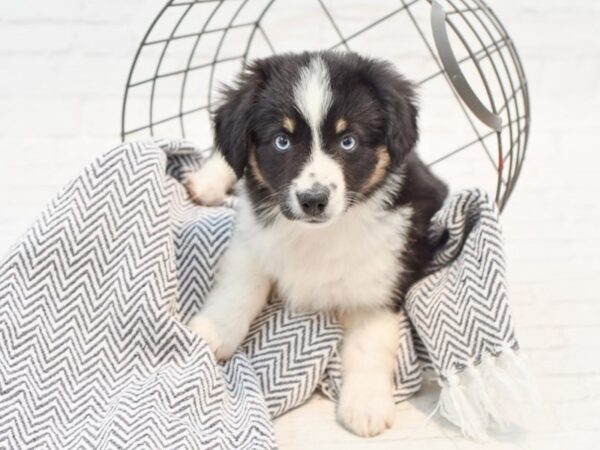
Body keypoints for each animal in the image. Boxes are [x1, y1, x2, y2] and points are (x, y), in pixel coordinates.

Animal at [186, 51, 446, 438]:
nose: (313, 200)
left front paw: (366, 405)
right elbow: (239, 289)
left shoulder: (386, 269)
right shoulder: (252, 234)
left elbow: (370, 340)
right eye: (282, 141)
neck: (317, 233)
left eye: (348, 140)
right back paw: (206, 182)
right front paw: (211, 333)